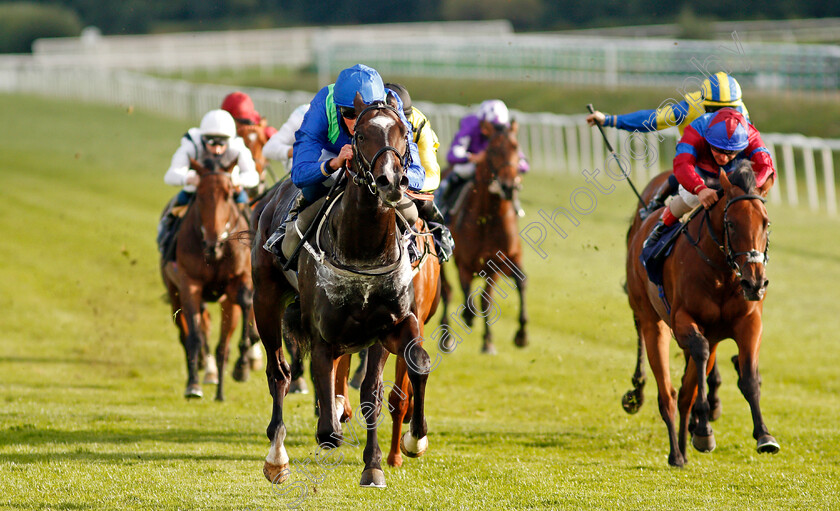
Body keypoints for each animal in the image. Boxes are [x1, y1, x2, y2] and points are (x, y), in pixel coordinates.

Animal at [160, 158, 253, 402]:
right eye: (199, 195)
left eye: (228, 195)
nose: (213, 243)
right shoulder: (189, 284)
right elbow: (194, 336)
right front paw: (193, 386)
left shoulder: (238, 281)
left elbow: (245, 303)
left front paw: (242, 365)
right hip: (174, 291)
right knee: (186, 334)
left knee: (222, 343)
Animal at [251, 92, 436, 488]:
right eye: (362, 135)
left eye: (403, 133)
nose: (390, 179)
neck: (363, 249)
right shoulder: (323, 333)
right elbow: (328, 428)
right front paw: (332, 428)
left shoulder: (392, 324)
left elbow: (400, 375)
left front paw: (396, 450)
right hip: (265, 300)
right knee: (278, 372)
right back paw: (277, 457)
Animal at [440, 123, 524, 356]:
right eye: (493, 150)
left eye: (515, 147)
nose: (508, 186)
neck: (488, 218)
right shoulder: (464, 262)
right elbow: (466, 294)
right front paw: (468, 317)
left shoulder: (497, 262)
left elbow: (488, 300)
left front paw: (492, 341)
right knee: (446, 291)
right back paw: (446, 337)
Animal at [628, 165, 776, 468]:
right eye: (731, 223)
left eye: (765, 223)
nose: (755, 283)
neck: (722, 272)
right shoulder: (683, 322)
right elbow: (700, 351)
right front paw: (705, 429)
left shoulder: (749, 323)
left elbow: (748, 377)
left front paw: (764, 435)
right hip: (651, 321)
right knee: (667, 393)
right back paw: (675, 450)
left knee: (684, 394)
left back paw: (684, 447)